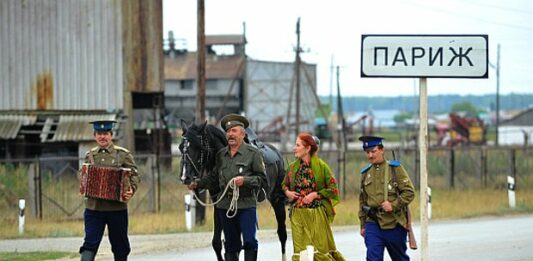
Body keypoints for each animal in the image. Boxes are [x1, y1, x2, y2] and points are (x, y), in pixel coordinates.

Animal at [179, 120, 286, 260]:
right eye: (181, 147)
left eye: (198, 147)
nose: (184, 177)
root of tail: (277, 153)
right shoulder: (219, 205)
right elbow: (218, 243)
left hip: (277, 199)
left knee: (282, 233)